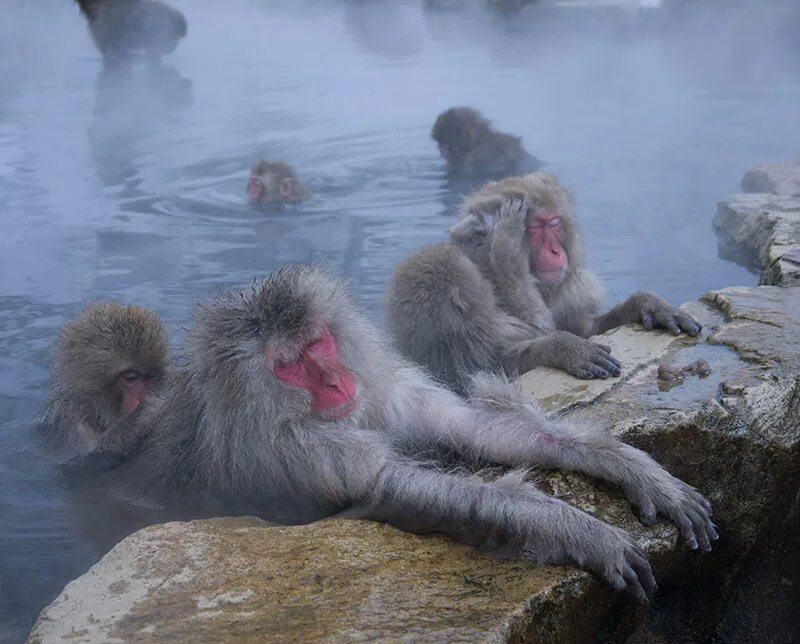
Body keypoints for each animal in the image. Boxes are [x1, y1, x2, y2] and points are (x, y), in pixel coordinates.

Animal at [39, 302, 168, 462]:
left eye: (152, 377)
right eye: (130, 377)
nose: (146, 394)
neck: (95, 410)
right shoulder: (71, 420)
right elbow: (95, 453)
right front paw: (150, 407)